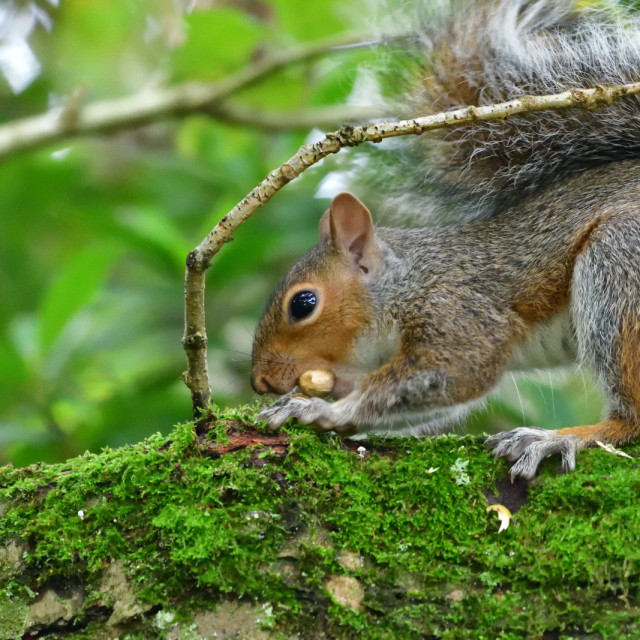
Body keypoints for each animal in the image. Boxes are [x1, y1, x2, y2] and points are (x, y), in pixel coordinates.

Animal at [252, 0, 640, 478]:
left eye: (303, 304)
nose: (260, 381)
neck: (408, 282)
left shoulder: (458, 312)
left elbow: (453, 371)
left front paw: (319, 410)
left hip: (618, 258)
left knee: (633, 418)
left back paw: (560, 438)